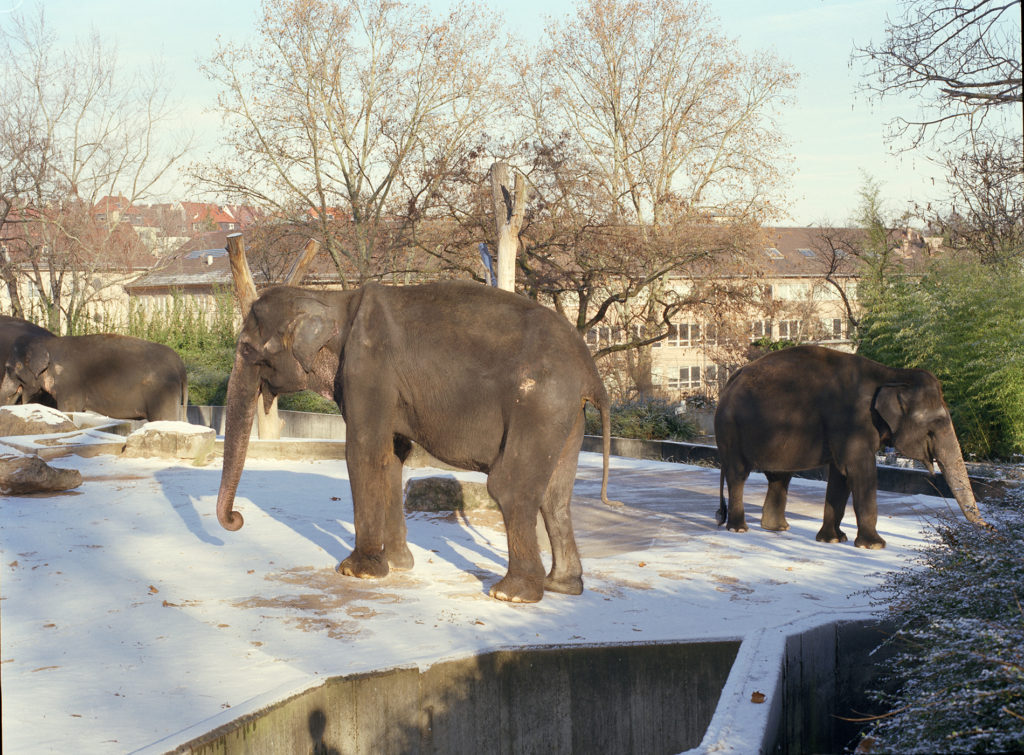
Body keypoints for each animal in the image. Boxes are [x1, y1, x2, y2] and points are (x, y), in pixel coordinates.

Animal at [1, 331, 189, 422]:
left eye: (9, 368)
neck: (47, 343)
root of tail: (181, 365)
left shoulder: (69, 384)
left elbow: (68, 410)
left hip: (162, 392)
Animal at [215, 280, 610, 602]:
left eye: (247, 349)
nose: (237, 519)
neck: (333, 300)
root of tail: (589, 370)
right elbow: (393, 455)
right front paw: (398, 564)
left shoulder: (368, 369)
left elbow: (365, 451)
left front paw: (356, 570)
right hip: (567, 414)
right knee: (556, 494)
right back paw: (562, 586)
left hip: (539, 401)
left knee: (509, 486)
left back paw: (511, 594)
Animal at [712, 342, 983, 549]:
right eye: (935, 424)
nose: (986, 528)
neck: (892, 375)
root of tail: (730, 382)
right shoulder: (850, 422)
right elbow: (860, 471)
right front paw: (874, 546)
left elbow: (840, 476)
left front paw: (832, 540)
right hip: (730, 430)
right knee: (738, 474)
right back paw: (739, 529)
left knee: (779, 477)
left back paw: (776, 528)